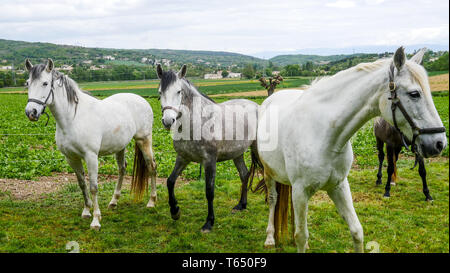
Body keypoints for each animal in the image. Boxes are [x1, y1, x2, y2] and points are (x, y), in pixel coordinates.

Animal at [25, 58, 158, 228]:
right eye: (27, 83)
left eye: (45, 83)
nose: (31, 112)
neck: (73, 118)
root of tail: (141, 100)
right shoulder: (72, 158)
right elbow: (82, 184)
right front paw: (86, 211)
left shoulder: (91, 157)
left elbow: (93, 187)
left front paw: (96, 220)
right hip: (120, 146)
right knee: (122, 169)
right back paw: (114, 201)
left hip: (144, 140)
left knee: (151, 166)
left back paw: (151, 202)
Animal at [256, 47, 446, 253]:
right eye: (414, 94)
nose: (440, 143)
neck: (325, 135)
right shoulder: (300, 191)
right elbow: (300, 235)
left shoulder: (338, 186)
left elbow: (356, 231)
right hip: (269, 173)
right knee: (273, 199)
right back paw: (269, 238)